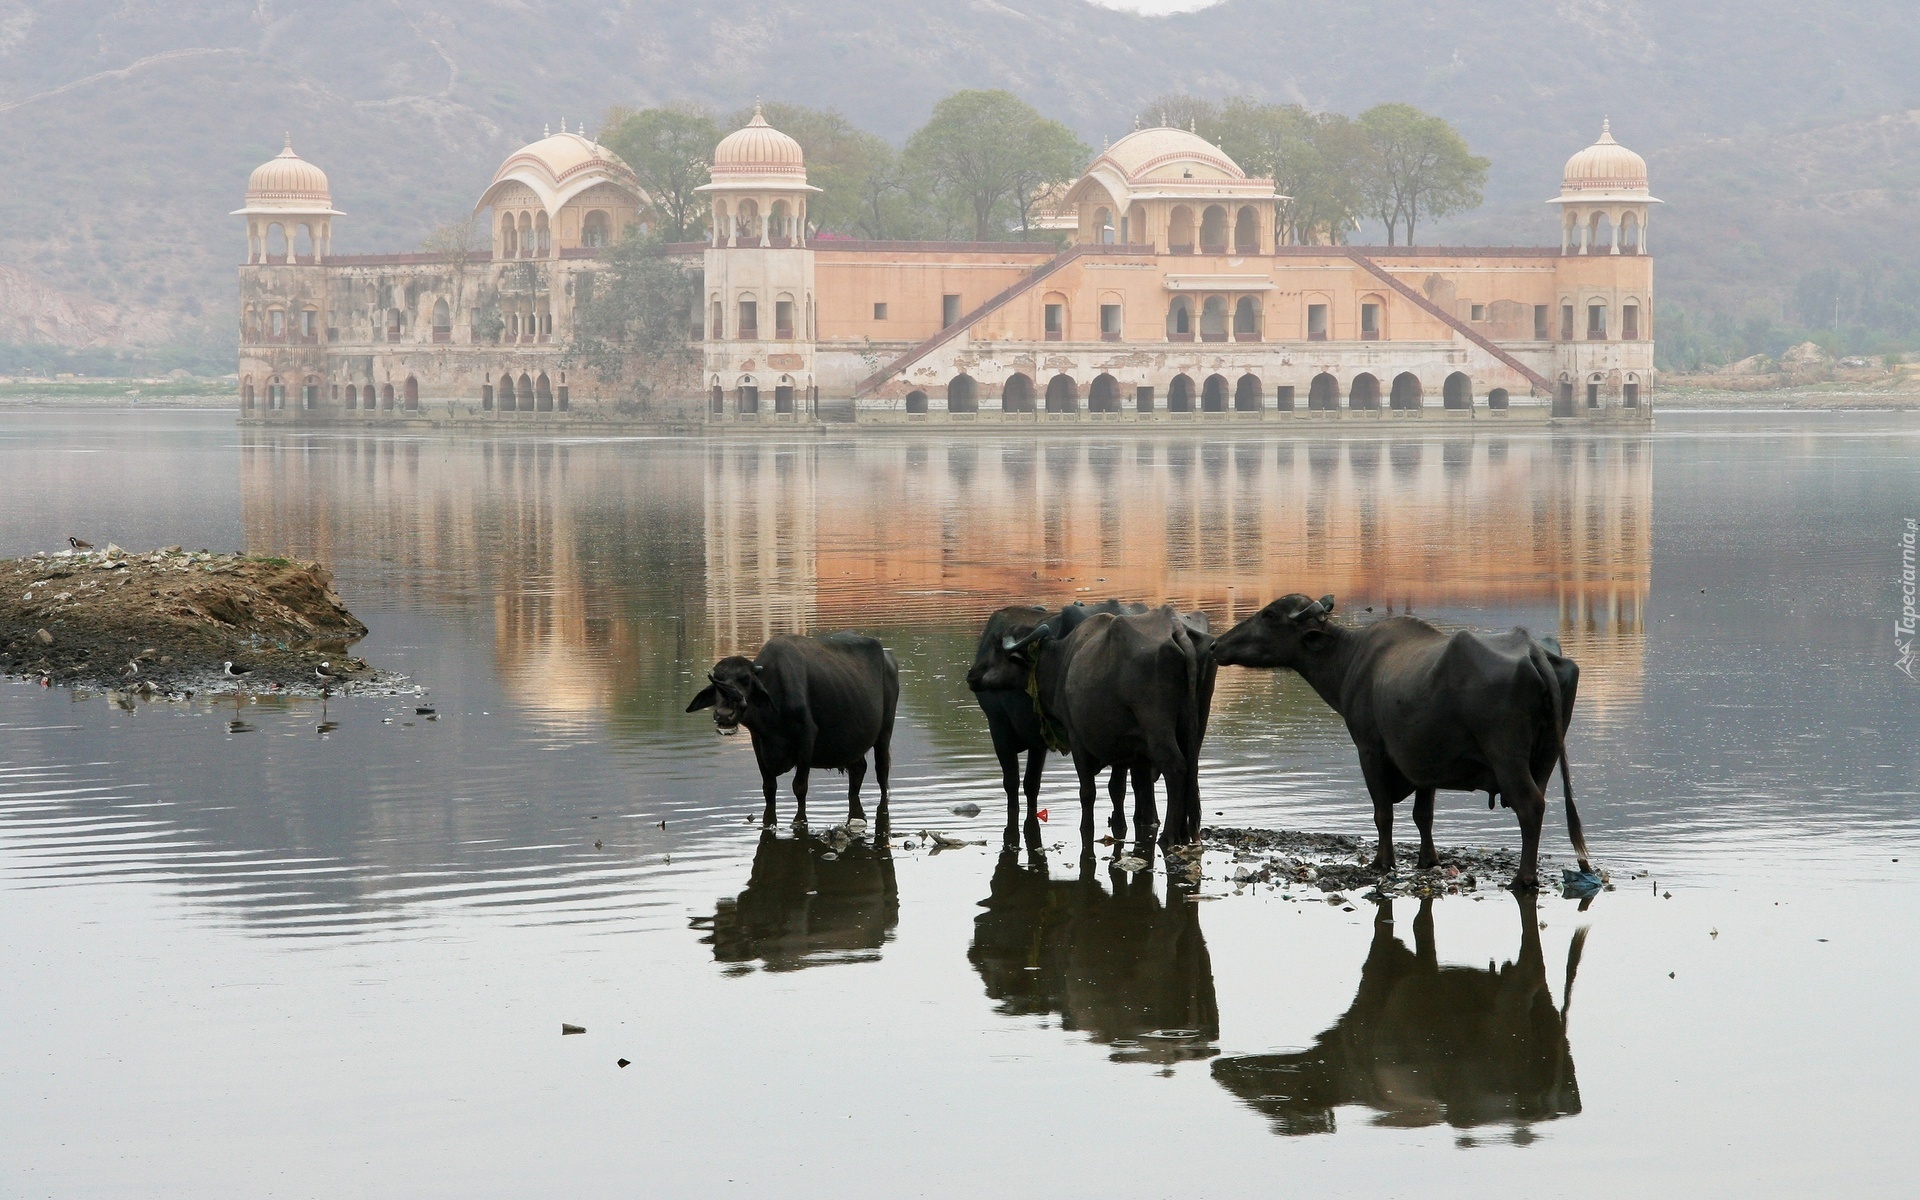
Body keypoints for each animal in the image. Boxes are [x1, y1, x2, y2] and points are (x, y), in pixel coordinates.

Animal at [691, 637, 898, 821]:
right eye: (717, 680)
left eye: (745, 679)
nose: (724, 715)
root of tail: (888, 658)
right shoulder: (758, 741)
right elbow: (768, 787)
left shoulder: (807, 738)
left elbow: (799, 787)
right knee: (858, 770)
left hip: (885, 731)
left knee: (882, 771)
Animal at [967, 599, 1144, 840]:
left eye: (996, 648)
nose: (971, 676)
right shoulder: (1039, 740)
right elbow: (1031, 784)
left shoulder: (998, 726)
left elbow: (1012, 784)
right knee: (1122, 788)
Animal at [1006, 602, 1213, 848]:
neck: (1064, 661)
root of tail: (1176, 628)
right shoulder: (1128, 747)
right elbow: (1120, 788)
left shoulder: (1077, 739)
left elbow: (1088, 792)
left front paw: (1087, 827)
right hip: (1196, 723)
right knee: (1191, 768)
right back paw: (1185, 833)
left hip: (1157, 726)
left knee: (1176, 767)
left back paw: (1168, 835)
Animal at [1213, 595, 1589, 883]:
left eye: (1269, 615)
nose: (1217, 644)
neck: (1349, 659)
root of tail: (1533, 653)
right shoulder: (1425, 762)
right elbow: (1423, 815)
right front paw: (1428, 859)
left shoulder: (1369, 749)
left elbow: (1383, 812)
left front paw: (1382, 861)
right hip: (1547, 756)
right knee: (1540, 803)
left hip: (1507, 756)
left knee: (1530, 806)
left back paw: (1524, 878)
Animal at [1213, 894, 1589, 1136]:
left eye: (1271, 1104)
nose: (1219, 1070)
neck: (1339, 1051)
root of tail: (1552, 1103)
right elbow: (1425, 931)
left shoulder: (1377, 979)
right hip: (1549, 1016)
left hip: (1509, 1016)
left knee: (1532, 970)